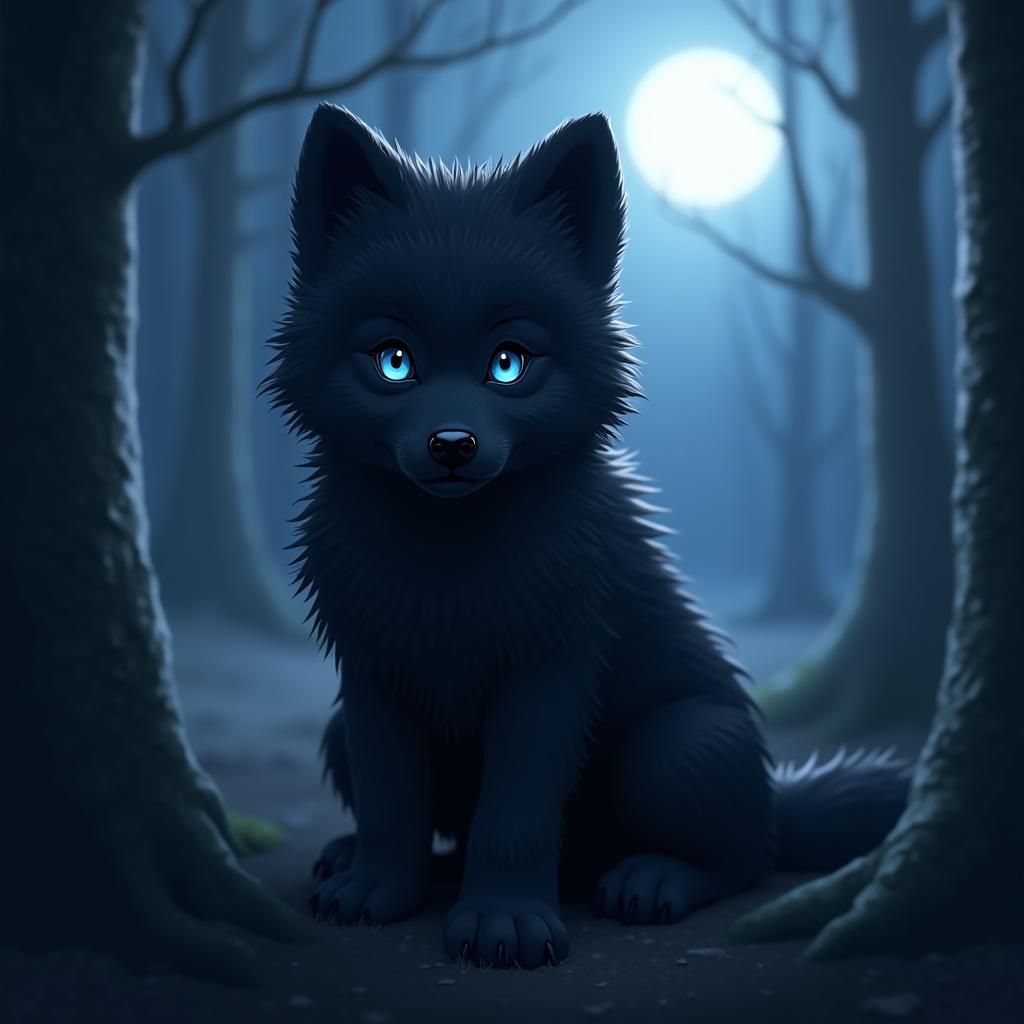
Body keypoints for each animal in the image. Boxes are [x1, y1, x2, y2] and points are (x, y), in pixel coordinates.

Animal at [264, 104, 909, 970]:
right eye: (394, 362)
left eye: (509, 364)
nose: (452, 446)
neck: (448, 556)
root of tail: (775, 795)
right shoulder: (371, 672)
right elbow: (391, 797)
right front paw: (376, 889)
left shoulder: (551, 670)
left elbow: (515, 814)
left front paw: (503, 920)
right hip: (340, 732)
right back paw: (368, 861)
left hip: (680, 744)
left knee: (744, 857)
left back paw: (653, 878)